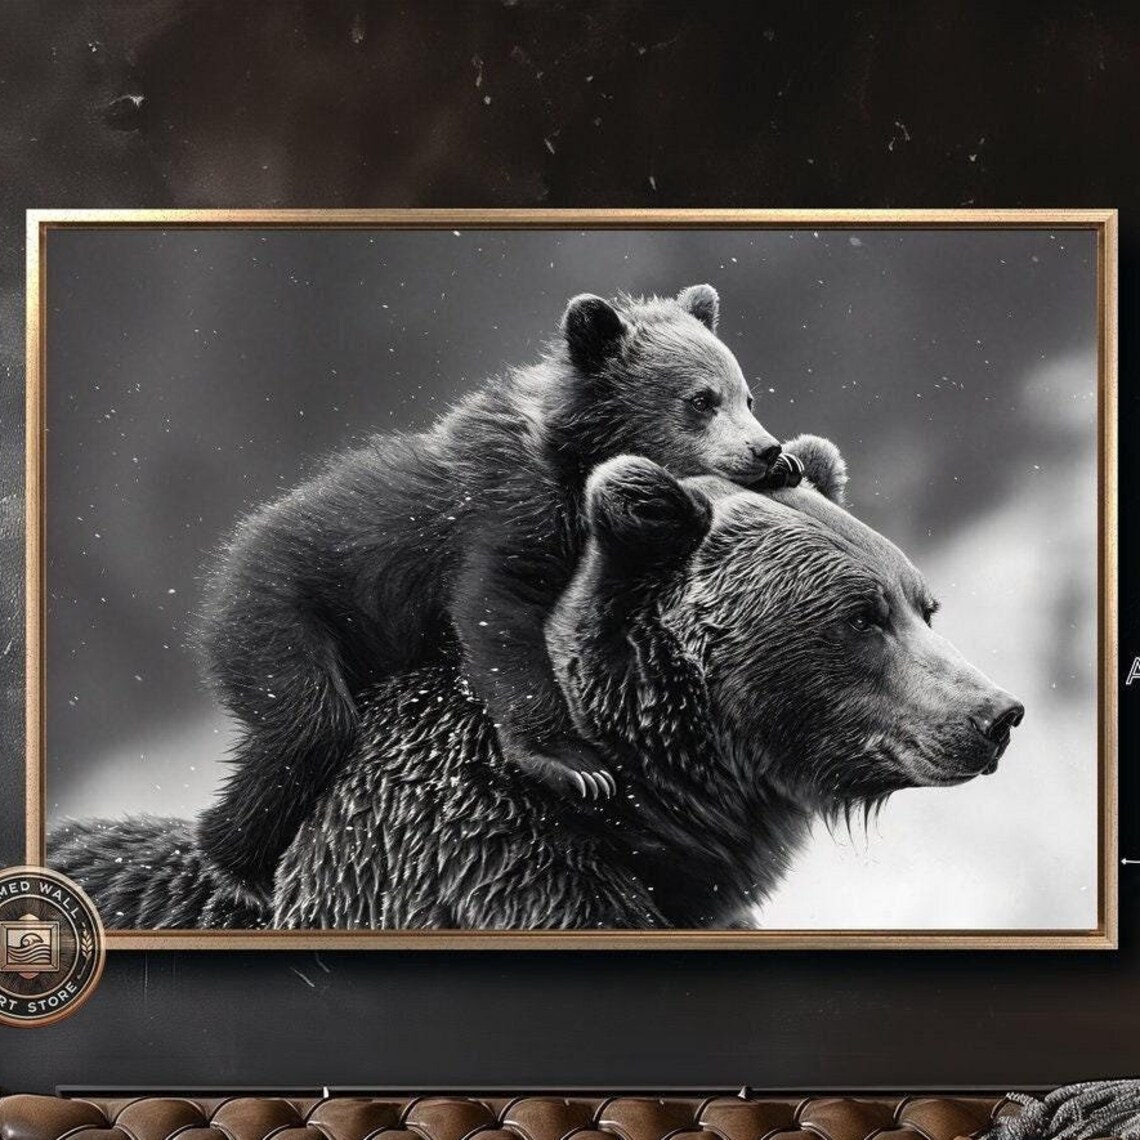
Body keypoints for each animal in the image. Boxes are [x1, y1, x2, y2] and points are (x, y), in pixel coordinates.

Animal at [195, 283, 797, 900]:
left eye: (747, 396)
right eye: (701, 399)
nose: (766, 450)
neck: (572, 459)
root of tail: (228, 560)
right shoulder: (506, 512)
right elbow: (499, 617)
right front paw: (575, 765)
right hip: (283, 614)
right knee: (308, 727)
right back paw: (237, 865)